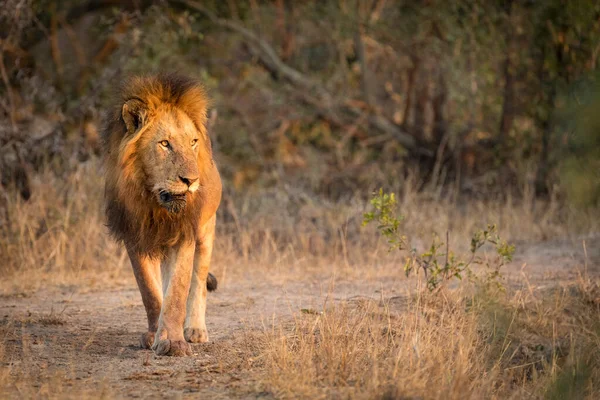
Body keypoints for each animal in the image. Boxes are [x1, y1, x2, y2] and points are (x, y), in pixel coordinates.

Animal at [102, 72, 221, 356]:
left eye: (193, 142)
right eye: (165, 144)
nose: (191, 180)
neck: (154, 204)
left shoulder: (185, 233)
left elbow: (177, 292)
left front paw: (174, 343)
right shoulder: (134, 236)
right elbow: (150, 292)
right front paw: (154, 335)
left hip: (206, 230)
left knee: (198, 281)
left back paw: (195, 330)